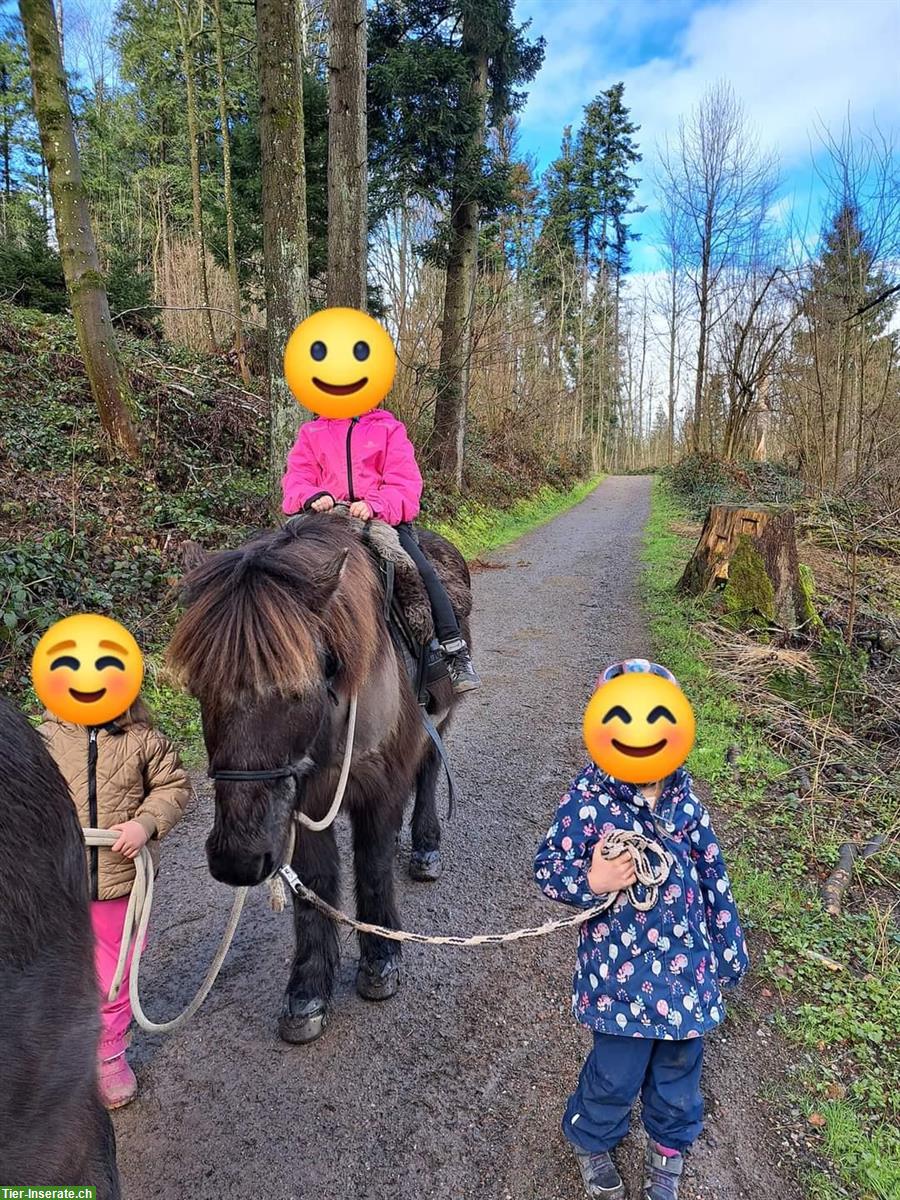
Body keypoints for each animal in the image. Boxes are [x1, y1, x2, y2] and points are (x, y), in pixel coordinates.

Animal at [168, 516, 472, 1041]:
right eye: (200, 690)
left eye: (298, 689)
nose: (237, 859)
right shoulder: (302, 803)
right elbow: (315, 885)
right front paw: (308, 990)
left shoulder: (380, 786)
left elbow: (371, 867)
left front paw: (381, 958)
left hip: (440, 718)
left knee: (429, 772)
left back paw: (425, 847)